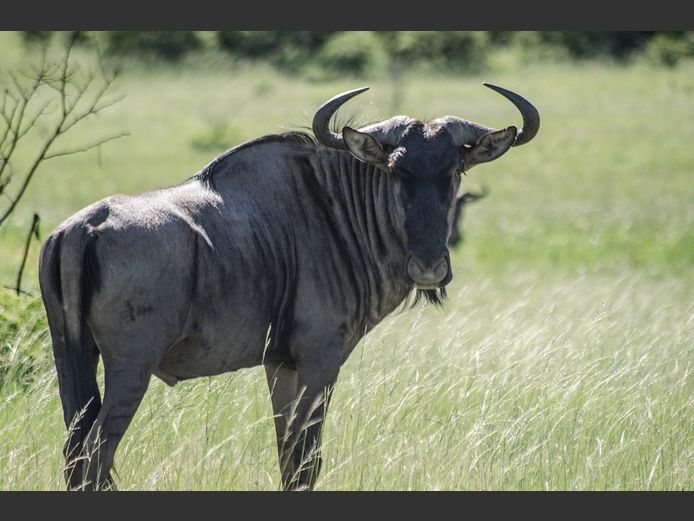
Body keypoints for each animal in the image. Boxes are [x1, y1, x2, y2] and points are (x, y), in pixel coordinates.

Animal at [38, 83, 539, 491]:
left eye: (454, 171)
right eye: (397, 171)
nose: (429, 268)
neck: (333, 209)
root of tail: (85, 227)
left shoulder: (280, 365)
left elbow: (287, 456)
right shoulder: (321, 360)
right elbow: (306, 460)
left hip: (72, 360)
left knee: (75, 452)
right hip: (131, 368)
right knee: (95, 455)